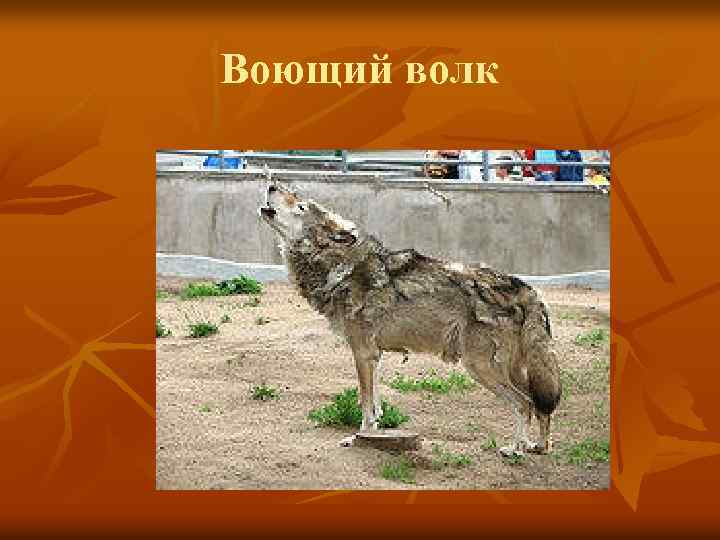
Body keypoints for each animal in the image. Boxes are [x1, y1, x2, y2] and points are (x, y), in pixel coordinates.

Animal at [259, 183, 561, 456]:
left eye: (300, 205)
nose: (271, 185)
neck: (340, 266)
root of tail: (527, 289)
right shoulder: (374, 356)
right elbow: (376, 405)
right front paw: (371, 435)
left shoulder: (362, 352)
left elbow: (365, 405)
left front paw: (358, 438)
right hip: (510, 369)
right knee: (539, 405)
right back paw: (538, 447)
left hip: (480, 367)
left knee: (524, 403)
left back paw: (515, 449)